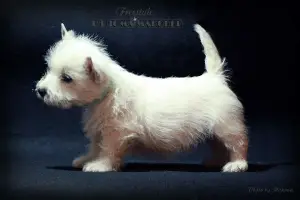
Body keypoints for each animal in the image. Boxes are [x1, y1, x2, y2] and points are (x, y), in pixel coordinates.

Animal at [35, 23, 248, 172]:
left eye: (66, 78)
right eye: (49, 69)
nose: (40, 90)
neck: (108, 92)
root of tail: (215, 77)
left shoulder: (116, 132)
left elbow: (107, 149)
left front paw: (100, 165)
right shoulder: (100, 130)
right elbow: (95, 146)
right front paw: (87, 159)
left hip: (227, 125)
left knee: (237, 144)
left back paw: (236, 165)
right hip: (214, 129)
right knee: (219, 145)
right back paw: (215, 162)